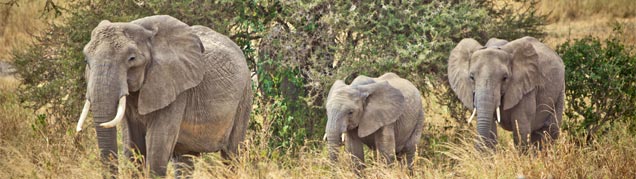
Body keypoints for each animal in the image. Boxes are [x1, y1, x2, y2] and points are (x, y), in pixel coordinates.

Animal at [76, 15, 252, 176]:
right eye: (86, 60)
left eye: (131, 59)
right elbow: (133, 148)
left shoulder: (175, 88)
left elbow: (157, 150)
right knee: (184, 160)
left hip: (244, 96)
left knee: (231, 154)